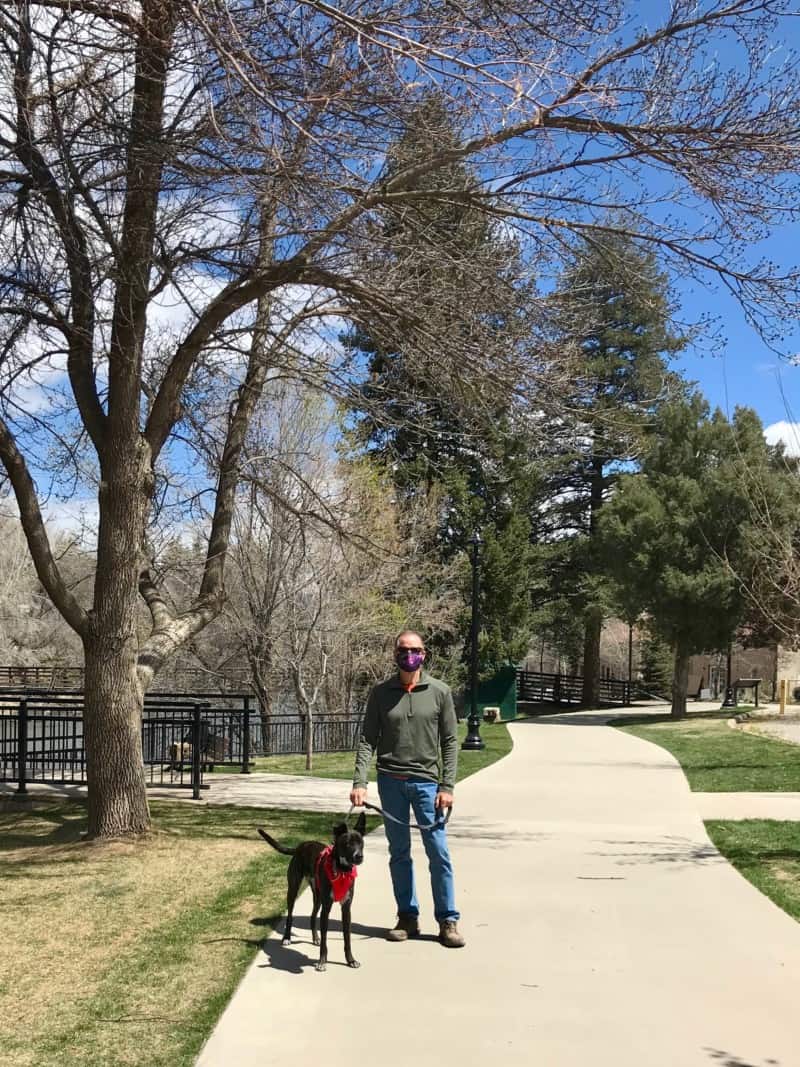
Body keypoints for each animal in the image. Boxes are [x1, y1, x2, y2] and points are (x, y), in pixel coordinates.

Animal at [258, 810, 369, 973]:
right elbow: (325, 940)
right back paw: (287, 938)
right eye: (348, 843)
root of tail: (300, 846)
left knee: (312, 916)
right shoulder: (327, 908)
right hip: (293, 889)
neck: (341, 870)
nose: (359, 856)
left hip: (317, 895)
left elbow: (347, 938)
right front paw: (322, 961)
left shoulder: (346, 908)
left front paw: (351, 960)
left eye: (360, 842)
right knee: (290, 916)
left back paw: (315, 938)